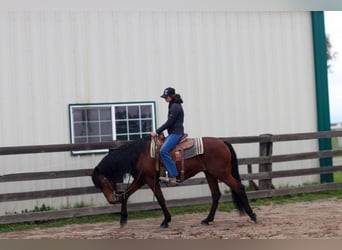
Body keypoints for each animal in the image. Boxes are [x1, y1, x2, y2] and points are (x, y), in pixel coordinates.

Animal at [91, 136, 256, 228]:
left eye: (102, 180)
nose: (111, 200)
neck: (140, 155)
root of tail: (222, 142)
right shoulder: (141, 180)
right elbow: (126, 194)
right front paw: (123, 220)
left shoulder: (150, 180)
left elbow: (160, 199)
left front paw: (166, 221)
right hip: (210, 174)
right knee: (216, 195)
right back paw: (207, 220)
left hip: (222, 173)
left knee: (239, 187)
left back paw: (252, 215)